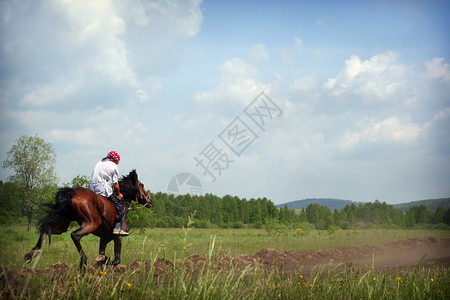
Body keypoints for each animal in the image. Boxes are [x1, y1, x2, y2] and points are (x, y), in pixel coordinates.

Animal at [24, 169, 153, 270]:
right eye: (142, 185)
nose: (150, 201)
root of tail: (72, 193)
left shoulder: (104, 238)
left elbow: (102, 255)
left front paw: (101, 263)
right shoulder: (118, 237)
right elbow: (116, 260)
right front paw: (104, 261)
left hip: (62, 225)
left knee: (46, 229)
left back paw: (30, 255)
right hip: (92, 223)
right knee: (75, 235)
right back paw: (84, 261)